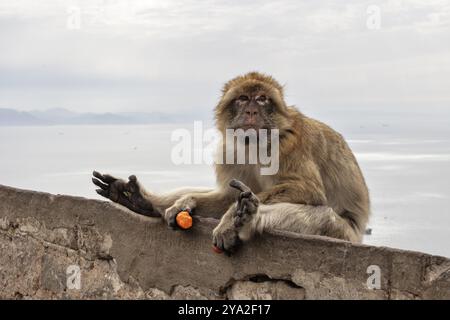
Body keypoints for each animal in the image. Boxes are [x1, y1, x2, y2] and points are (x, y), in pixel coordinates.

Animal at [91, 70, 370, 255]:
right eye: (243, 98)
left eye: (262, 99)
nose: (251, 111)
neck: (257, 143)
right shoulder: (230, 151)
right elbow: (227, 194)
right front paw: (185, 202)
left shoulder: (290, 145)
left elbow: (309, 190)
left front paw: (230, 218)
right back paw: (140, 198)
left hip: (345, 233)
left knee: (321, 215)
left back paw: (246, 217)